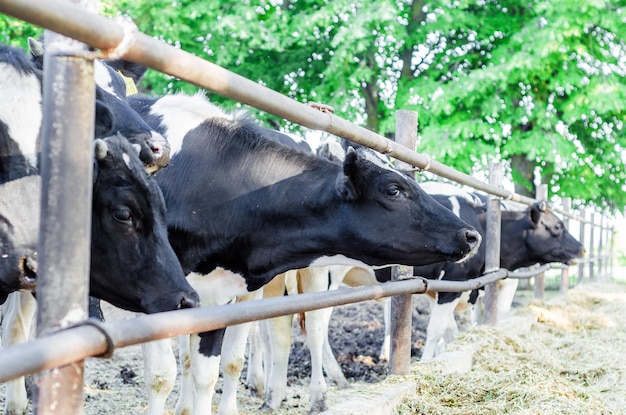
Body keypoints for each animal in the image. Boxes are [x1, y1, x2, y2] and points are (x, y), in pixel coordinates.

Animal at [114, 91, 480, 415]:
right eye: (394, 190)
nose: (472, 235)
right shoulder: (159, 298)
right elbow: (162, 376)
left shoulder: (218, 297)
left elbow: (207, 373)